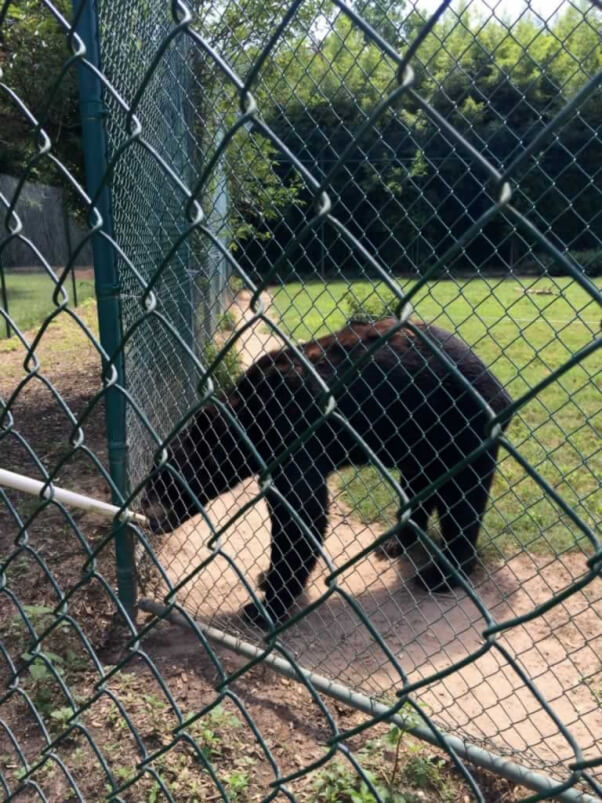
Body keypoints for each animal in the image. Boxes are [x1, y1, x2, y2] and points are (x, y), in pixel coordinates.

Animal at [143, 318, 508, 628]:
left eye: (166, 481)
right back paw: (394, 543)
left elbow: (303, 515)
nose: (149, 519)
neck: (250, 423)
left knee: (462, 501)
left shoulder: (296, 431)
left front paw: (265, 607)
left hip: (463, 430)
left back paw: (440, 575)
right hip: (421, 441)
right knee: (418, 484)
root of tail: (500, 389)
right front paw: (265, 577)